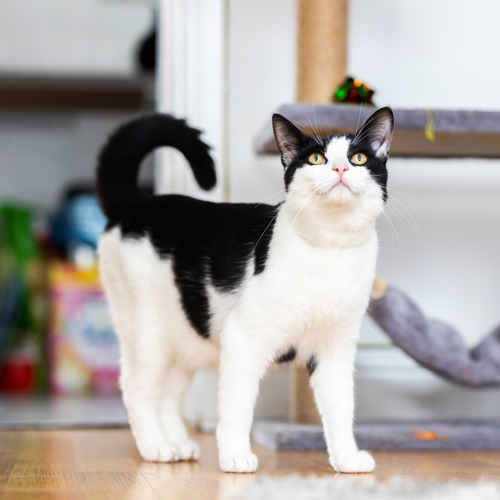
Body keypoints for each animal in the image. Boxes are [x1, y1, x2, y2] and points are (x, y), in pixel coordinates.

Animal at [96, 107, 394, 474]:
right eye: (316, 158)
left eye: (358, 158)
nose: (340, 168)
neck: (330, 250)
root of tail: (137, 203)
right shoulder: (241, 340)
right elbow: (237, 407)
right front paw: (235, 455)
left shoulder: (335, 349)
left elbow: (341, 407)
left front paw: (346, 458)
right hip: (147, 331)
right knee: (138, 390)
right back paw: (156, 446)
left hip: (185, 340)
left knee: (167, 395)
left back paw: (177, 443)